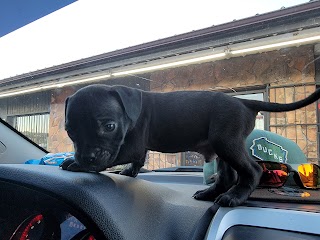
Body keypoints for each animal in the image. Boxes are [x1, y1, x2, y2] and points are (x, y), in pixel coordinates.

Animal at [60, 84, 320, 206]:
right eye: (69, 131)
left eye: (109, 126)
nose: (86, 157)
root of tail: (244, 103)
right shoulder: (137, 149)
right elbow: (137, 160)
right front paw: (129, 171)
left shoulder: (128, 146)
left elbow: (116, 156)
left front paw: (76, 164)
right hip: (223, 147)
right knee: (227, 176)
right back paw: (209, 193)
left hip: (225, 142)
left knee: (252, 170)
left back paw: (235, 197)